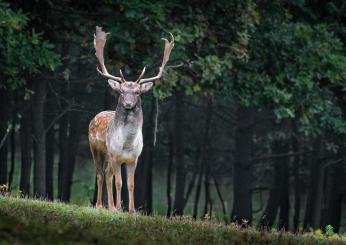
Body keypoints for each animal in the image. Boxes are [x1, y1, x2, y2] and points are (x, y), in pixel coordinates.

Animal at [88, 25, 174, 212]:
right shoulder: (115, 156)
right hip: (96, 150)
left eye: (137, 92)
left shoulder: (134, 159)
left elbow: (131, 184)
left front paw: (132, 210)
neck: (127, 144)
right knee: (100, 174)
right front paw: (119, 208)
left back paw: (109, 206)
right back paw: (101, 205)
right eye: (121, 91)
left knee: (107, 174)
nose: (128, 104)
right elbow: (119, 183)